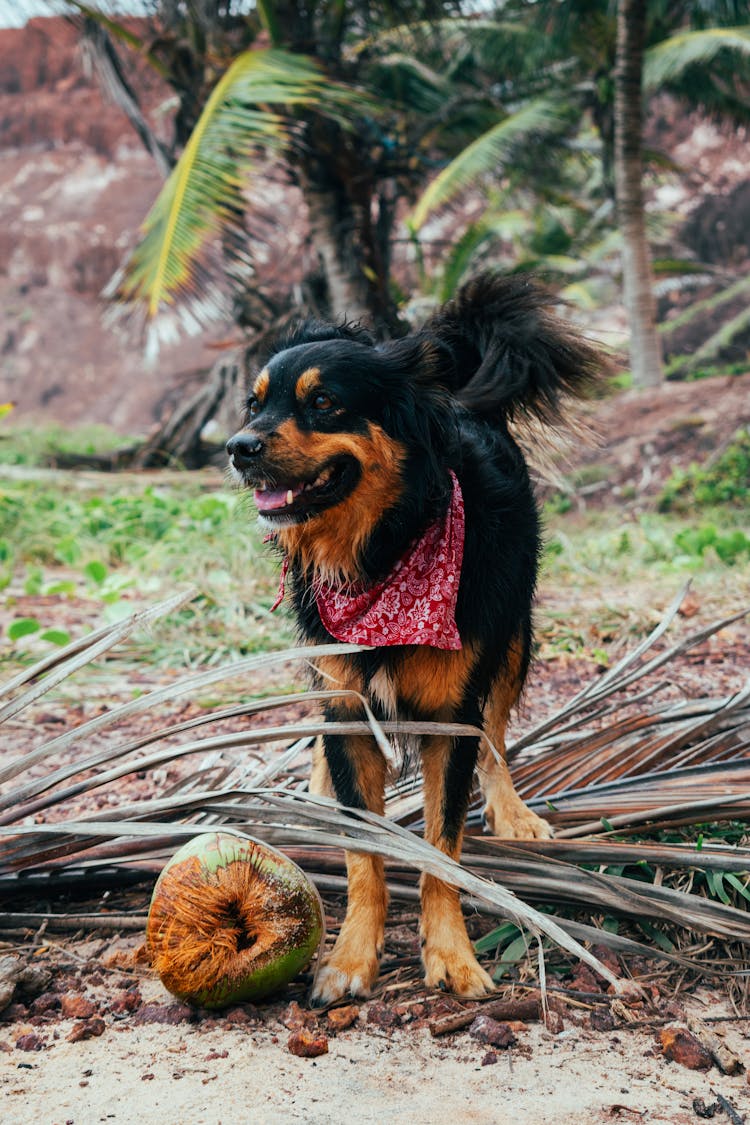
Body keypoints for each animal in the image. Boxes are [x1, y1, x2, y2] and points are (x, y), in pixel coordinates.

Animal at [226, 272, 602, 1003]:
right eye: (253, 406)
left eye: (323, 402)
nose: (237, 447)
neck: (383, 552)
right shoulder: (346, 698)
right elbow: (364, 850)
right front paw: (351, 956)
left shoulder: (451, 713)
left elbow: (441, 846)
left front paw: (450, 953)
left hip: (513, 637)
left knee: (496, 735)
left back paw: (512, 809)